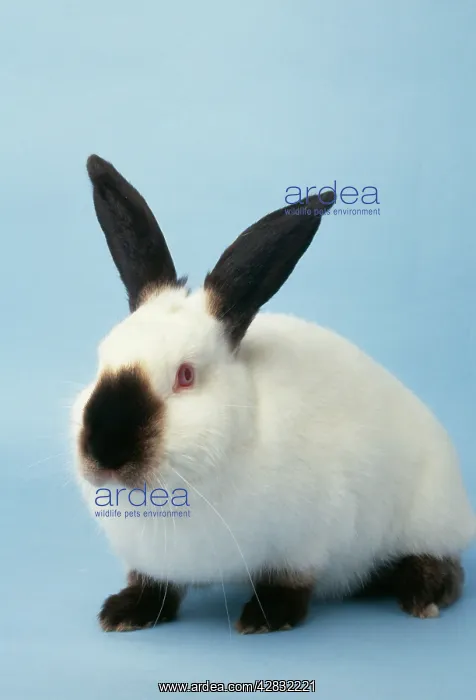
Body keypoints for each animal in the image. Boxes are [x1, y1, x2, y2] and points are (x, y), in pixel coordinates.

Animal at [71, 154, 476, 634]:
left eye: (185, 376)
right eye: (102, 359)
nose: (106, 452)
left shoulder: (306, 540)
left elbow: (290, 581)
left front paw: (265, 618)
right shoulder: (154, 561)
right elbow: (154, 584)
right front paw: (124, 612)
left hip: (430, 516)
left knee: (445, 565)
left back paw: (422, 595)